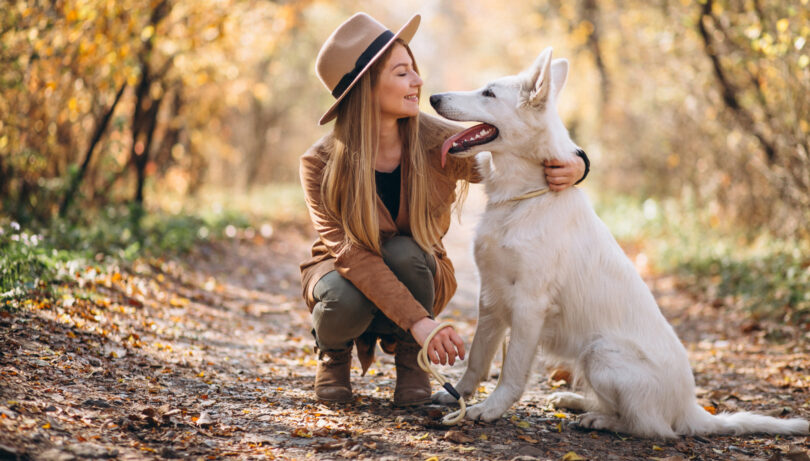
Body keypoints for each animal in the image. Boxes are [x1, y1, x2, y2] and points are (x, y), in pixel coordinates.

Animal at [426, 47, 804, 438]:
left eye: (488, 93)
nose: (433, 97)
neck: (525, 197)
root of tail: (691, 408)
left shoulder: (529, 305)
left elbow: (512, 372)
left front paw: (490, 409)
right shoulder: (491, 298)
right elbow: (477, 358)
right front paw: (458, 395)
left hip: (601, 352)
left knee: (650, 427)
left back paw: (599, 420)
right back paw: (575, 402)